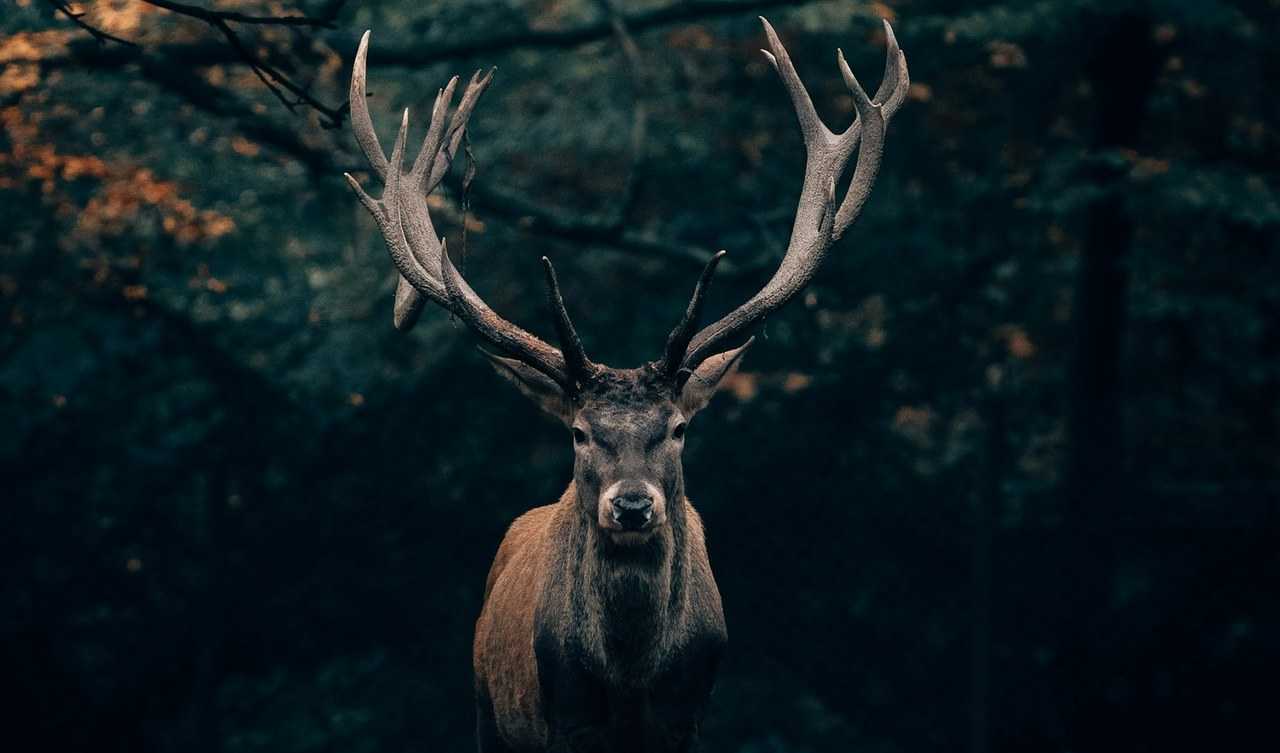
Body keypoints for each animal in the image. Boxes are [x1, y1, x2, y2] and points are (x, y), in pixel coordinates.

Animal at [343, 16, 908, 753]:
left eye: (679, 428)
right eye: (580, 433)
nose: (633, 506)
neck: (632, 682)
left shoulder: (687, 717)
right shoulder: (564, 719)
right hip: (487, 709)